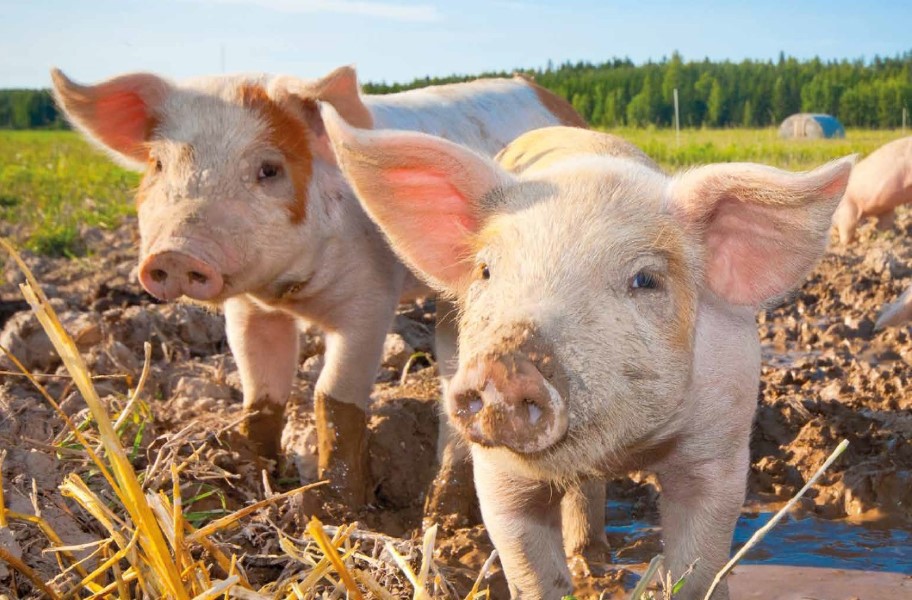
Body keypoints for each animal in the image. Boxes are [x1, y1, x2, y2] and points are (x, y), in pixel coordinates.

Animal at [53, 64, 584, 506]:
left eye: (269, 169)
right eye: (159, 165)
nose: (176, 254)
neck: (291, 294)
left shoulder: (371, 300)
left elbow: (333, 397)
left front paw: (336, 508)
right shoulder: (249, 311)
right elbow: (260, 390)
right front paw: (252, 470)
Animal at [328, 117, 856, 600]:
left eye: (645, 280)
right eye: (486, 270)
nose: (504, 367)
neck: (624, 448)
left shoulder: (720, 445)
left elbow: (699, 561)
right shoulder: (500, 475)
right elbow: (530, 566)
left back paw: (596, 558)